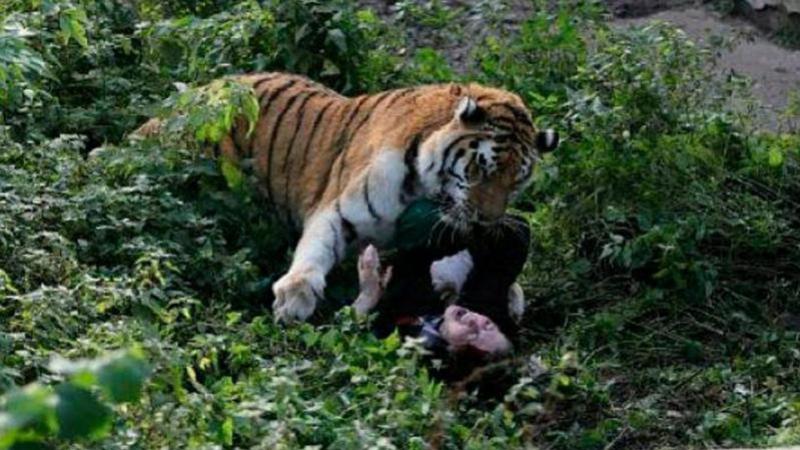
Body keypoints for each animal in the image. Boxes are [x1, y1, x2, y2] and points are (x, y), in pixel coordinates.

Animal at [134, 72, 559, 323]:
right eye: (481, 171)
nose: (486, 221)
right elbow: (315, 250)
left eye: (516, 182)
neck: (427, 189)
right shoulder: (339, 210)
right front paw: (294, 297)